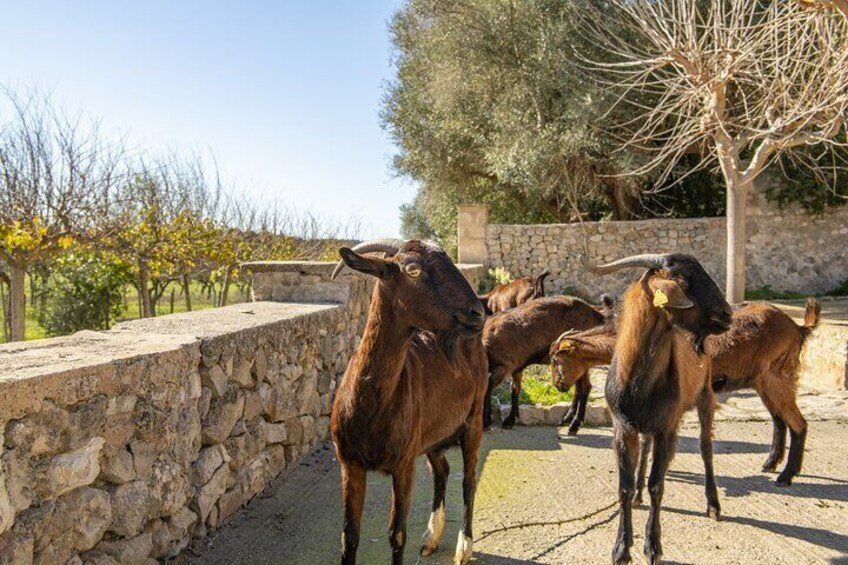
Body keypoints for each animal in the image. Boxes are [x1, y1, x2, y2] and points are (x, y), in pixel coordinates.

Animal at [332, 238, 490, 564]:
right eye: (413, 271)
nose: (477, 313)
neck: (370, 408)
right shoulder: (349, 463)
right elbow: (348, 537)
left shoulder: (403, 464)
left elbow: (397, 534)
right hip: (432, 434)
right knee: (442, 471)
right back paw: (431, 537)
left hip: (474, 418)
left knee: (468, 479)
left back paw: (463, 546)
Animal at [480, 294, 608, 430]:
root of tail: (595, 314)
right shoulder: (517, 368)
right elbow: (515, 390)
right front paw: (510, 419)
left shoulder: (504, 366)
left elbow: (488, 388)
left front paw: (486, 420)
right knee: (578, 387)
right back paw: (567, 418)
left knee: (585, 387)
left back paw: (575, 423)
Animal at [548, 298, 820, 486]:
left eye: (556, 360)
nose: (558, 385)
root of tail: (797, 328)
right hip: (763, 382)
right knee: (779, 420)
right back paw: (770, 464)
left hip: (777, 378)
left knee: (798, 424)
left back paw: (785, 476)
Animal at [588, 254, 732, 564]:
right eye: (683, 280)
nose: (727, 314)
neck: (637, 383)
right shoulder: (622, 427)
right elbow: (624, 486)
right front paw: (621, 547)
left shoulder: (667, 426)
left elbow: (658, 484)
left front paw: (652, 546)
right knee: (646, 446)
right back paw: (639, 495)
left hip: (704, 395)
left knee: (705, 446)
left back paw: (713, 505)